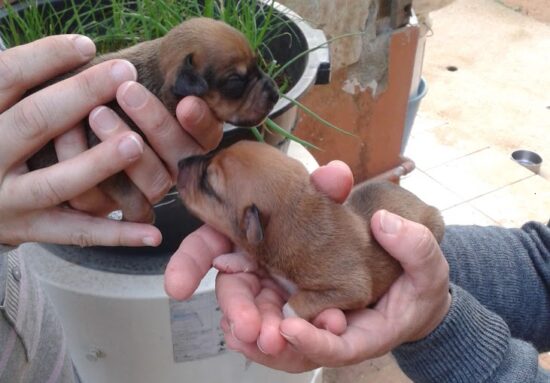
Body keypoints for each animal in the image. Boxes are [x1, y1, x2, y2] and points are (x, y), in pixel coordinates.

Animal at [27, 17, 280, 222]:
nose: (276, 95)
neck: (157, 78)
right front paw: (141, 218)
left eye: (258, 64)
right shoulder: (109, 163)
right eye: (236, 81)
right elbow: (132, 196)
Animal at [179, 141, 446, 320]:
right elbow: (252, 258)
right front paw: (233, 259)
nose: (180, 162)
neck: (296, 219)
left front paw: (287, 314)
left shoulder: (351, 287)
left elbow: (298, 301)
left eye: (207, 183)